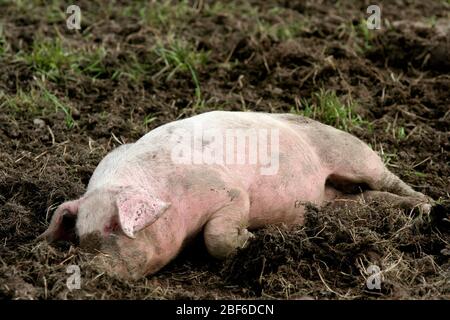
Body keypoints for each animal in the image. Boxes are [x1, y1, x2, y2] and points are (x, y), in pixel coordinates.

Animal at [38, 111, 432, 278]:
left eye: (113, 227)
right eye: (80, 237)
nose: (91, 269)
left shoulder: (230, 193)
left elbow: (218, 236)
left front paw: (251, 239)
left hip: (350, 152)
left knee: (386, 177)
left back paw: (429, 206)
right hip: (338, 201)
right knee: (369, 200)